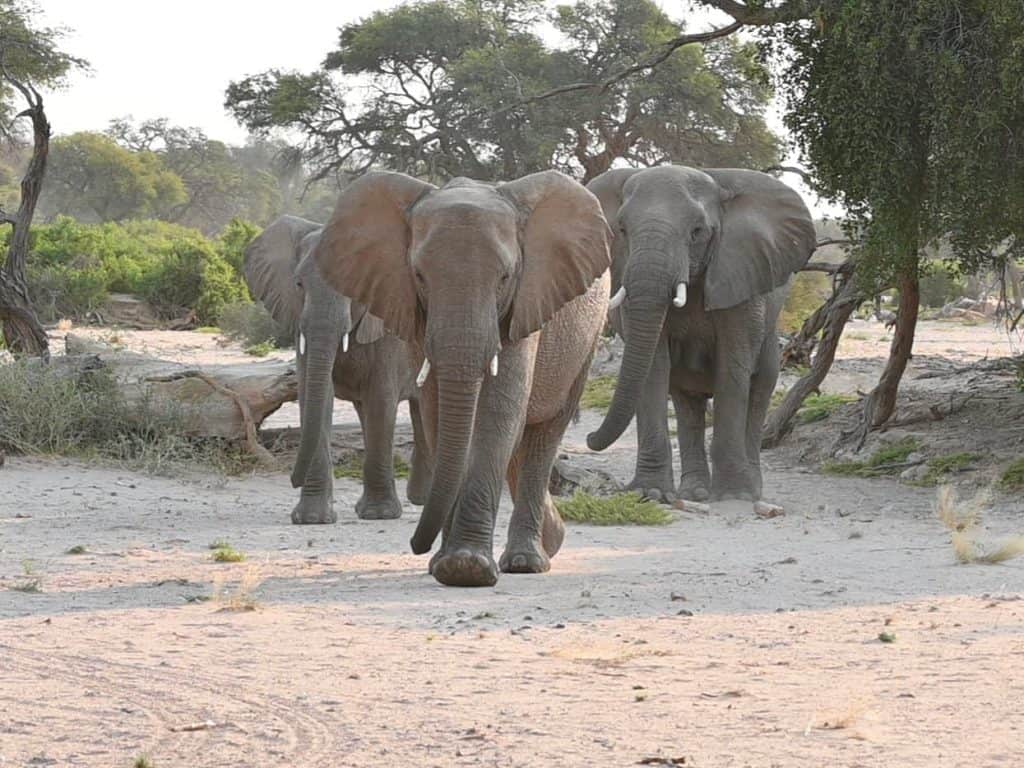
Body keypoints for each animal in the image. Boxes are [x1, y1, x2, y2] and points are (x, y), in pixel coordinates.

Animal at [243, 215, 432, 524]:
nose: (292, 479)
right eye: (298, 284)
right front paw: (312, 519)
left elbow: (380, 399)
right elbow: (317, 397)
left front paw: (379, 515)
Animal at [313, 170, 611, 587]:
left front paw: (466, 568)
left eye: (505, 277)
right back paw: (550, 543)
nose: (416, 545)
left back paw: (527, 561)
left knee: (544, 433)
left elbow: (498, 410)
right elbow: (439, 412)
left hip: (587, 340)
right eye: (419, 276)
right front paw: (447, 564)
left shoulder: (525, 302)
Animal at [584, 166, 816, 502]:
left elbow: (732, 369)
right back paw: (695, 492)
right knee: (687, 402)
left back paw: (752, 490)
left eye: (697, 231)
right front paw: (650, 493)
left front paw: (735, 496)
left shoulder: (740, 277)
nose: (589, 437)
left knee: (759, 392)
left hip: (772, 338)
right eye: (623, 230)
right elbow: (652, 369)